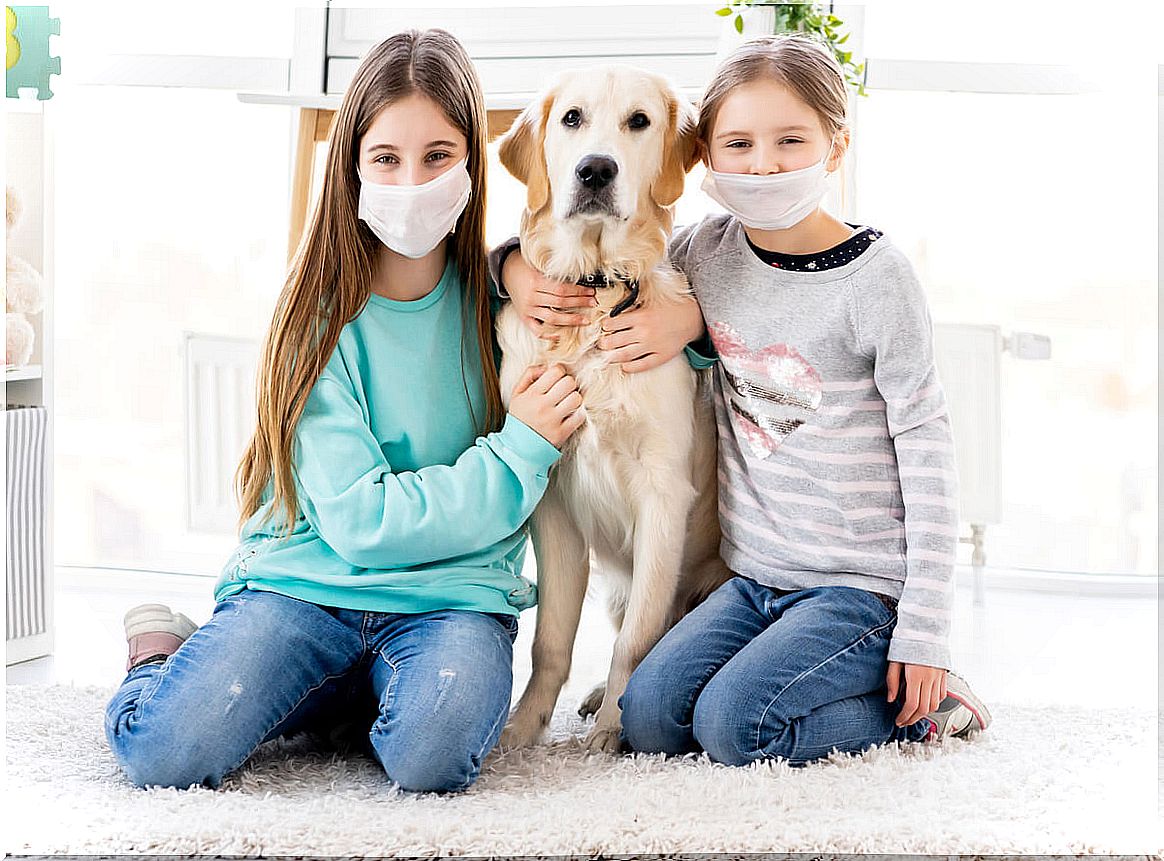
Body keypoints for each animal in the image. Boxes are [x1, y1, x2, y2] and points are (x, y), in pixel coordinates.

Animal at [495, 65, 730, 753]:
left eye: (639, 121)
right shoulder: (551, 500)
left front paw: (613, 730)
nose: (596, 170)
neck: (596, 291)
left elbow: (638, 638)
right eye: (571, 118)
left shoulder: (662, 492)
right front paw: (522, 729)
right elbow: (550, 641)